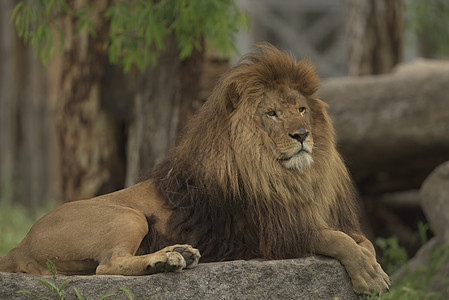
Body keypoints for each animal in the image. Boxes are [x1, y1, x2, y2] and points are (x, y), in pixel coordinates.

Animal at [0, 43, 388, 294]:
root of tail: (20, 244)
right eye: (272, 113)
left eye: (302, 109)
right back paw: (165, 260)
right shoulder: (273, 233)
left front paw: (374, 265)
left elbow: (363, 240)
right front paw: (369, 276)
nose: (303, 135)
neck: (288, 177)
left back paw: (179, 255)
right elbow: (336, 239)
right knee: (108, 265)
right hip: (128, 216)